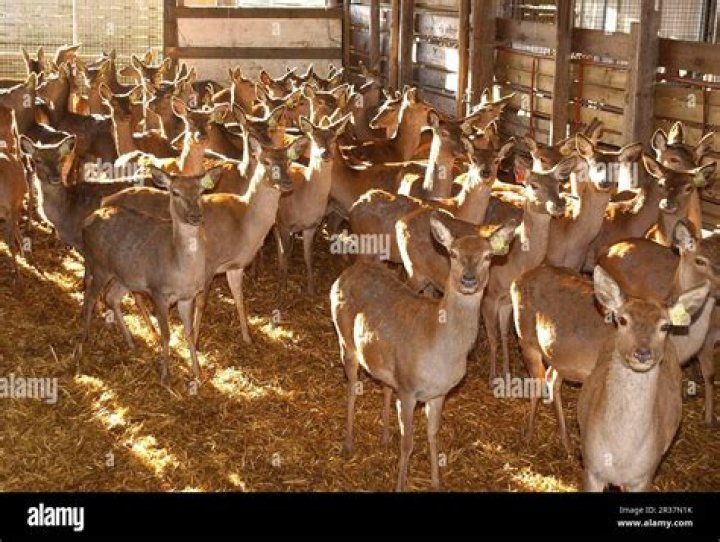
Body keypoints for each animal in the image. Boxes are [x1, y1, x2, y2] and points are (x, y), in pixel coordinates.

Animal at [330, 212, 517, 491]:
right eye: (453, 253)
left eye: (487, 256)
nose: (468, 279)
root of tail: (346, 273)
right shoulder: (408, 388)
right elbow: (408, 443)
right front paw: (400, 485)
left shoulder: (439, 393)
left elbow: (433, 435)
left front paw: (436, 483)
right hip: (345, 341)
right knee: (352, 387)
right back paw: (348, 444)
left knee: (384, 385)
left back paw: (385, 437)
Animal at [578, 266, 709, 492]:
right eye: (622, 320)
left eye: (665, 326)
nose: (643, 353)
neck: (621, 457)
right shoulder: (591, 469)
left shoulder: (646, 475)